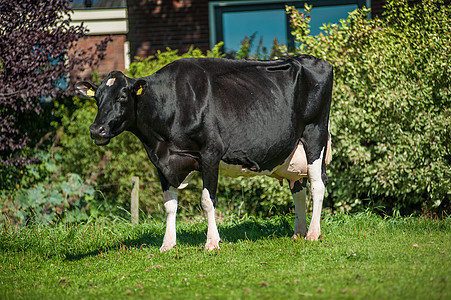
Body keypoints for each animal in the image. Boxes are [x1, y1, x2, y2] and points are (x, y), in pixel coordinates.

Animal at [76, 55, 334, 251]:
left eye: (122, 96)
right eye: (97, 99)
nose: (96, 129)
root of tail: (313, 60)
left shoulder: (211, 152)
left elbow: (207, 200)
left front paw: (212, 242)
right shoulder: (161, 163)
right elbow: (169, 204)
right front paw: (167, 244)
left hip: (315, 134)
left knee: (317, 184)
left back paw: (313, 233)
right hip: (293, 150)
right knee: (298, 188)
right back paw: (299, 232)